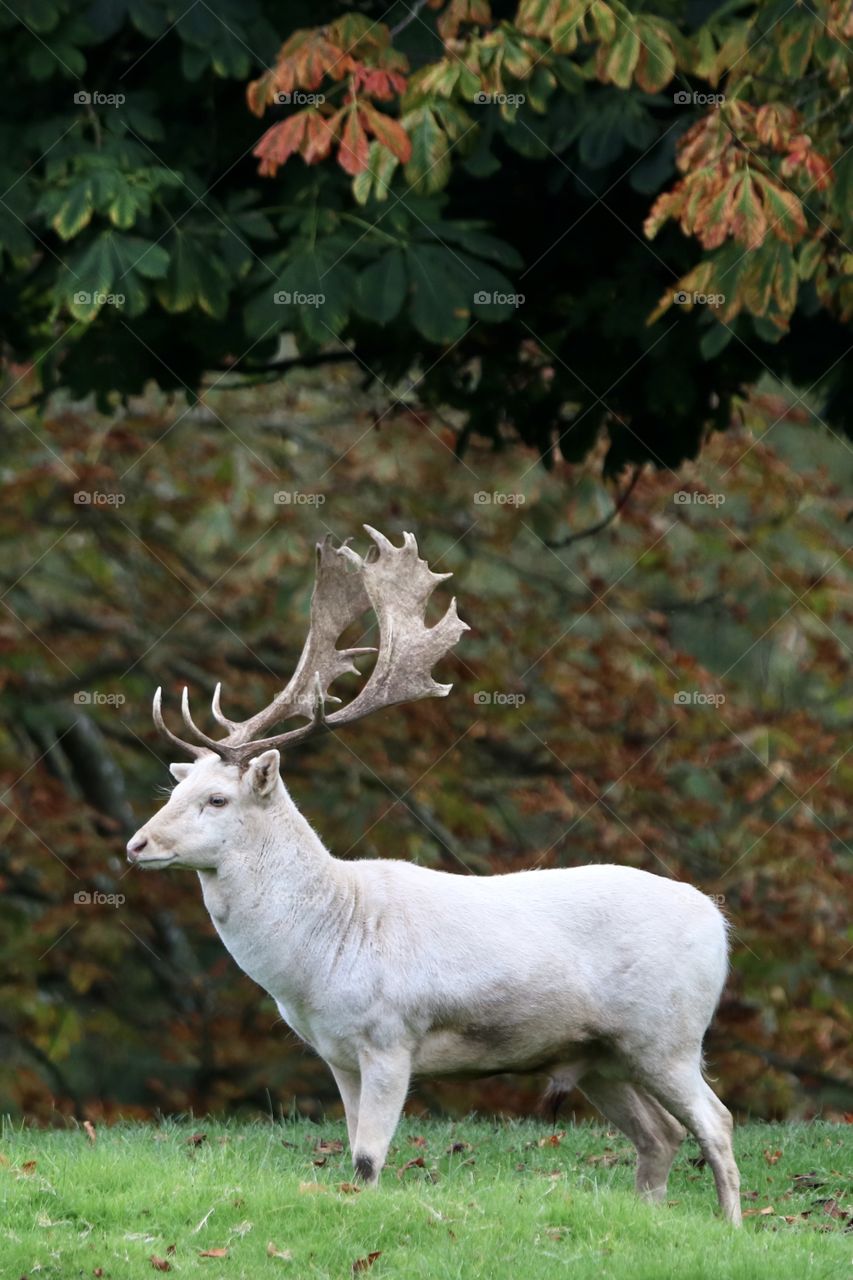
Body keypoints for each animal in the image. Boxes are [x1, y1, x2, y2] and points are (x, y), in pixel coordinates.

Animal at [126, 526, 741, 1224]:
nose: (137, 844)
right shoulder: (338, 1055)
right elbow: (352, 1150)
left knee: (717, 1122)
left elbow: (368, 1161)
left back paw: (732, 1226)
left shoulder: (392, 1037)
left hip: (669, 1033)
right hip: (603, 1055)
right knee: (660, 1135)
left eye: (217, 799)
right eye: (176, 789)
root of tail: (719, 925)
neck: (320, 955)